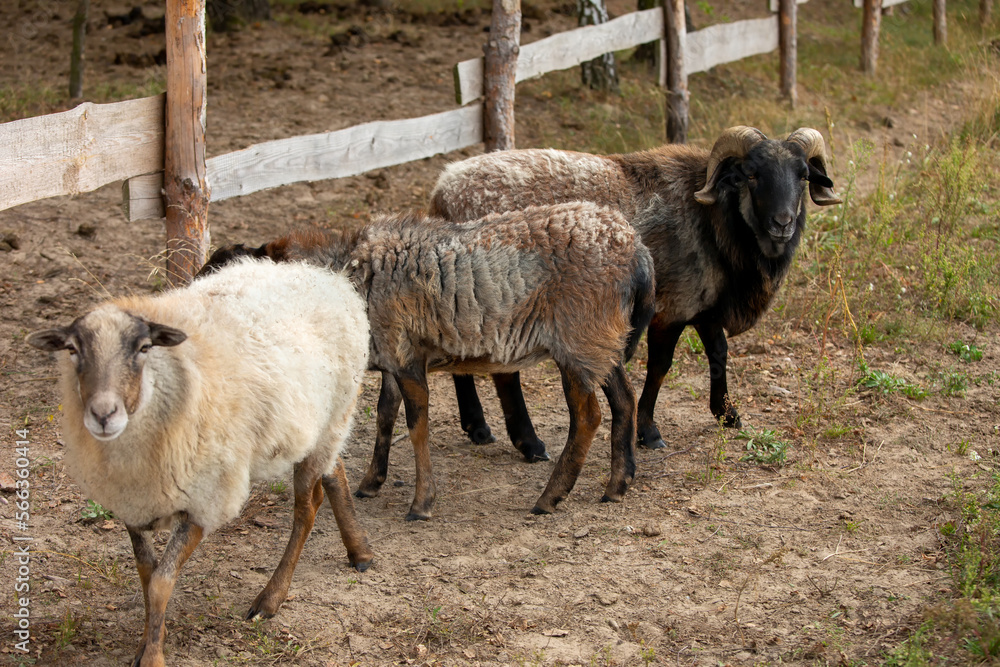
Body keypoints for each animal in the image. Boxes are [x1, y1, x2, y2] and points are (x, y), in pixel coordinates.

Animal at [26, 259, 373, 667]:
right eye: (72, 350)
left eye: (144, 348)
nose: (103, 415)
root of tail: (325, 276)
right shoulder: (134, 503)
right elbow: (147, 575)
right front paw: (147, 642)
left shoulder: (204, 499)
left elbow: (161, 584)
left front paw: (153, 657)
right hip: (319, 427)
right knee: (336, 470)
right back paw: (360, 552)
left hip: (334, 416)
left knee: (307, 508)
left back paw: (271, 598)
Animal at [200, 201, 656, 520]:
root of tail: (636, 249)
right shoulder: (392, 354)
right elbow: (385, 415)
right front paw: (371, 483)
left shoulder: (406, 358)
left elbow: (417, 427)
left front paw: (421, 504)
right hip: (603, 342)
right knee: (623, 400)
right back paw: (618, 484)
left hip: (578, 341)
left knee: (588, 417)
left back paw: (551, 497)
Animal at [427, 126, 841, 452]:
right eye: (751, 175)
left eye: (804, 175)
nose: (782, 223)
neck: (713, 219)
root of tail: (443, 191)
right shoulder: (672, 309)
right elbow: (660, 368)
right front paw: (649, 432)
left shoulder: (703, 304)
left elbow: (719, 355)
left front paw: (727, 414)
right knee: (504, 372)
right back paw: (529, 443)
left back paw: (478, 428)